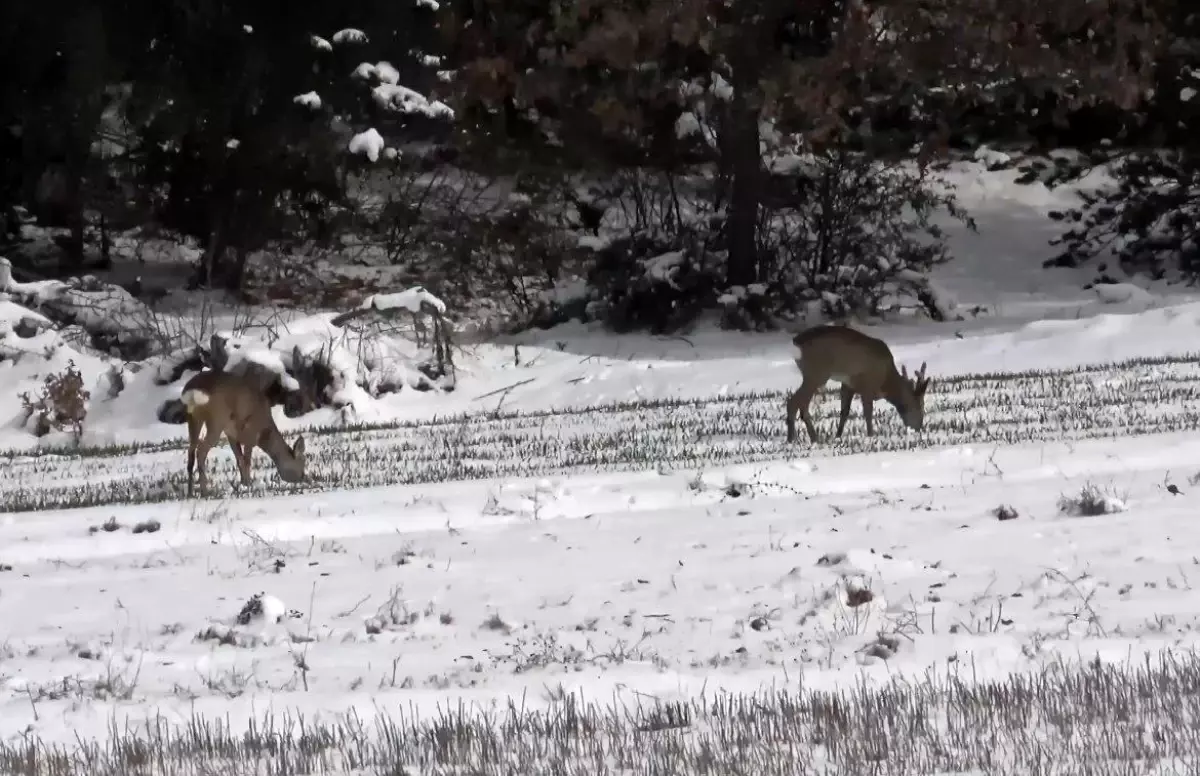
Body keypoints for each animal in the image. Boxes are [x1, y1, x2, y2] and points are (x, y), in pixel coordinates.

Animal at [180, 369, 309, 498]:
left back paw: (190, 492)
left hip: (193, 418)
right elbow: (247, 461)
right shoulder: (250, 434)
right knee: (201, 450)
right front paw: (248, 485)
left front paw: (243, 483)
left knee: (191, 452)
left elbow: (239, 460)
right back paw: (205, 491)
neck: (265, 434)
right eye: (302, 463)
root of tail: (193, 390)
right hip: (217, 419)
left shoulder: (231, 434)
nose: (304, 477)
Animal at [782, 323, 931, 443]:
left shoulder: (848, 385)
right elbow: (868, 412)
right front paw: (871, 435)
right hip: (817, 373)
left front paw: (838, 436)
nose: (919, 427)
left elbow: (844, 412)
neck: (885, 381)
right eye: (920, 406)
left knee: (801, 403)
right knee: (794, 402)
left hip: (812, 375)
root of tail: (796, 342)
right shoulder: (867, 384)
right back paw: (798, 439)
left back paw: (807, 438)